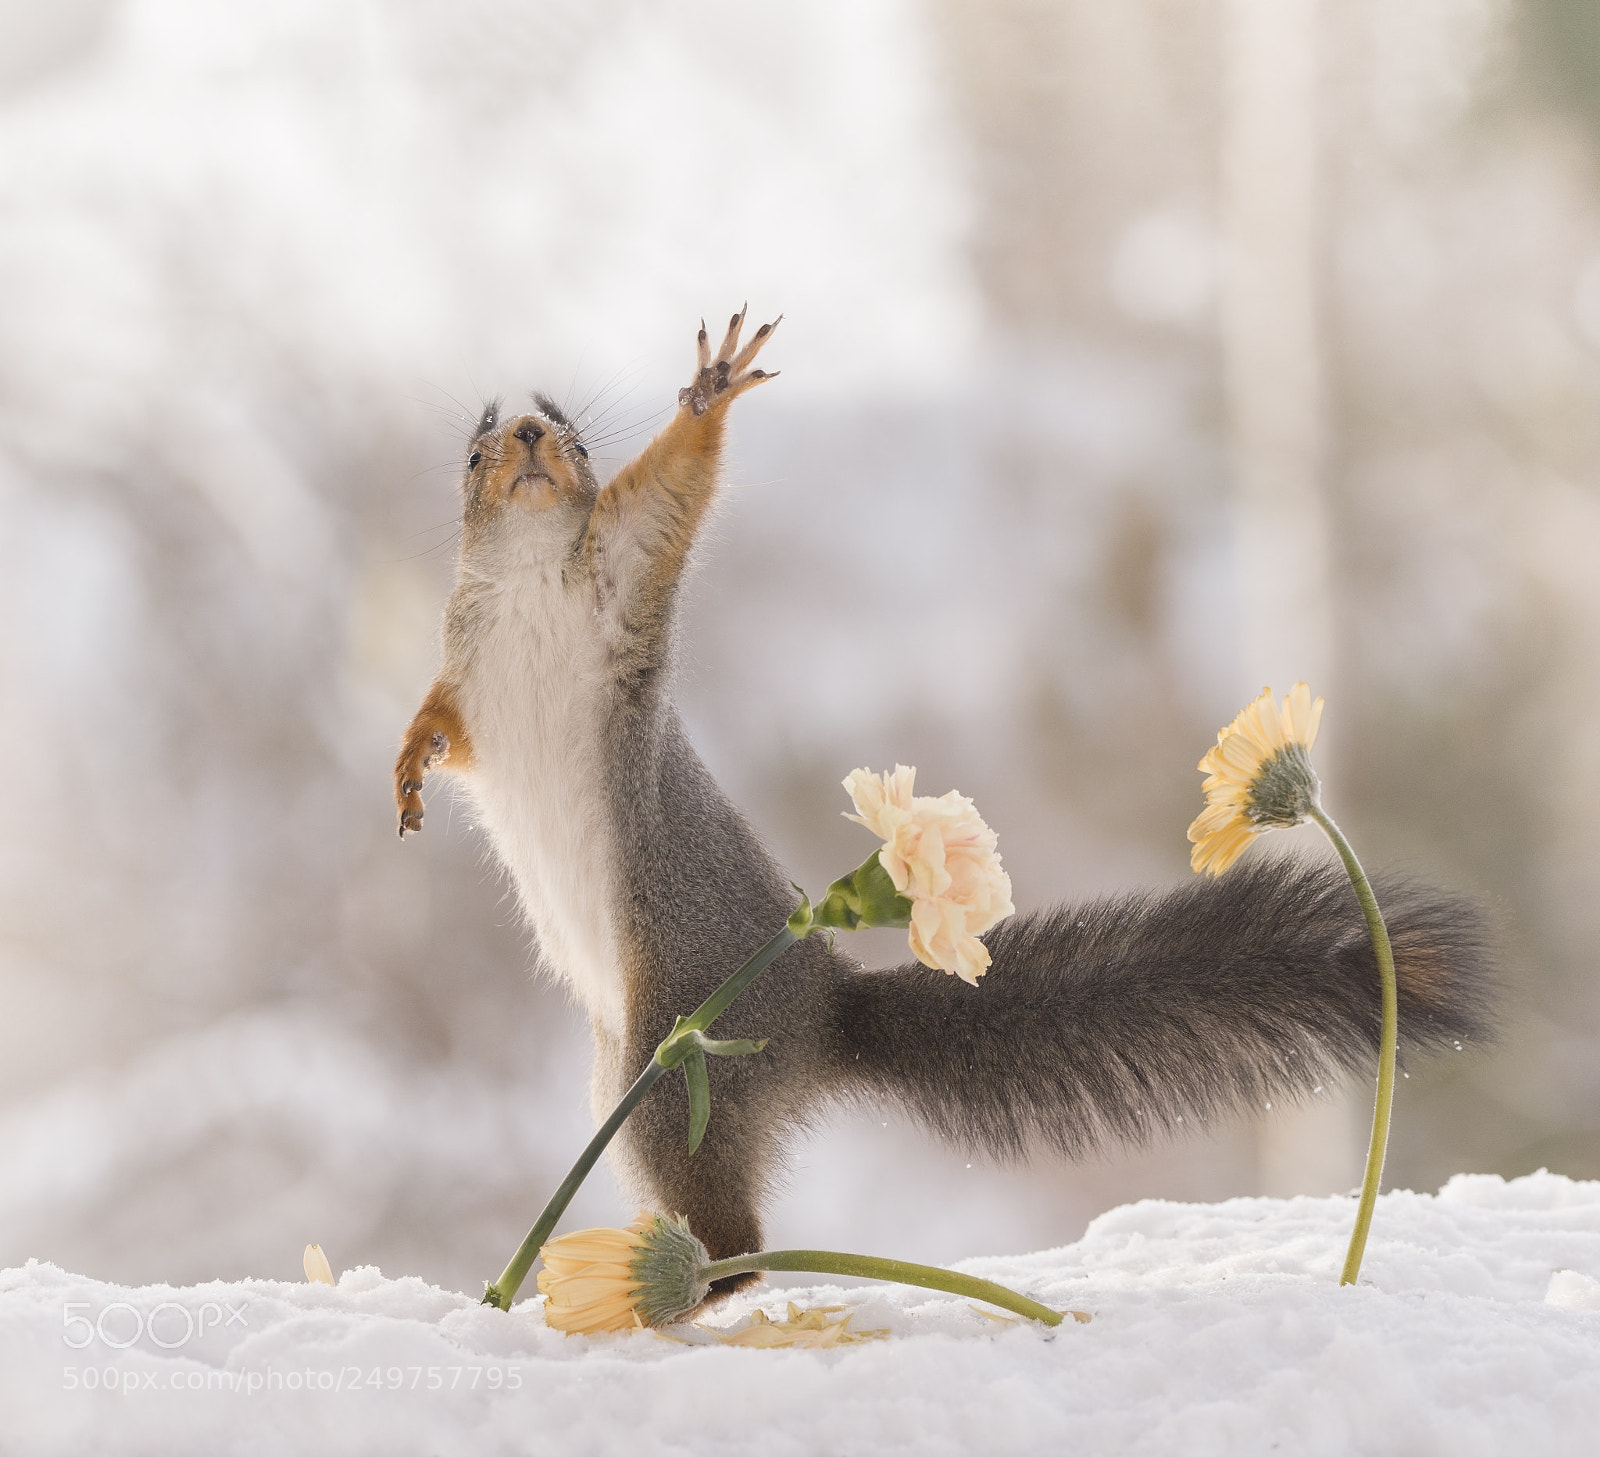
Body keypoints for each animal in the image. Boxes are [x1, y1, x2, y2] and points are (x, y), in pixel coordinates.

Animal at [394, 308, 1494, 1279]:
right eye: (472, 455)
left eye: (574, 436)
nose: (527, 436)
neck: (531, 572)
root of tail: (822, 1008)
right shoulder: (466, 669)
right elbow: (443, 721)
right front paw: (408, 769)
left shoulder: (624, 570)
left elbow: (672, 485)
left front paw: (709, 391)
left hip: (681, 1068)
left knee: (738, 1235)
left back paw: (670, 1287)